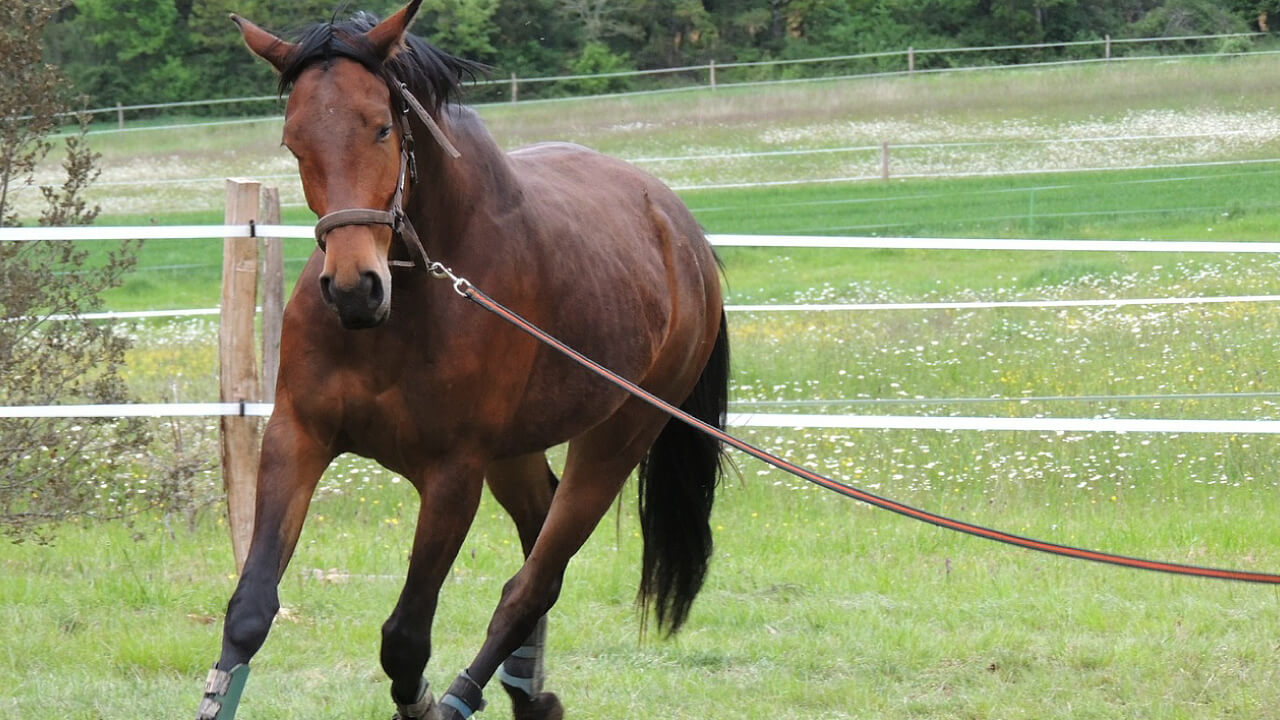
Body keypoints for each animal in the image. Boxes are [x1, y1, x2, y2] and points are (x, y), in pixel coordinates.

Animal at [196, 2, 729, 719]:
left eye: (382, 126)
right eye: (292, 140)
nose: (354, 288)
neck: (404, 309)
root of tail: (684, 234)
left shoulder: (452, 475)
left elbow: (404, 638)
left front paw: (423, 702)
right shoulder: (296, 436)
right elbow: (251, 610)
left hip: (617, 439)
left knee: (533, 583)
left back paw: (471, 697)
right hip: (515, 453)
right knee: (536, 534)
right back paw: (530, 693)